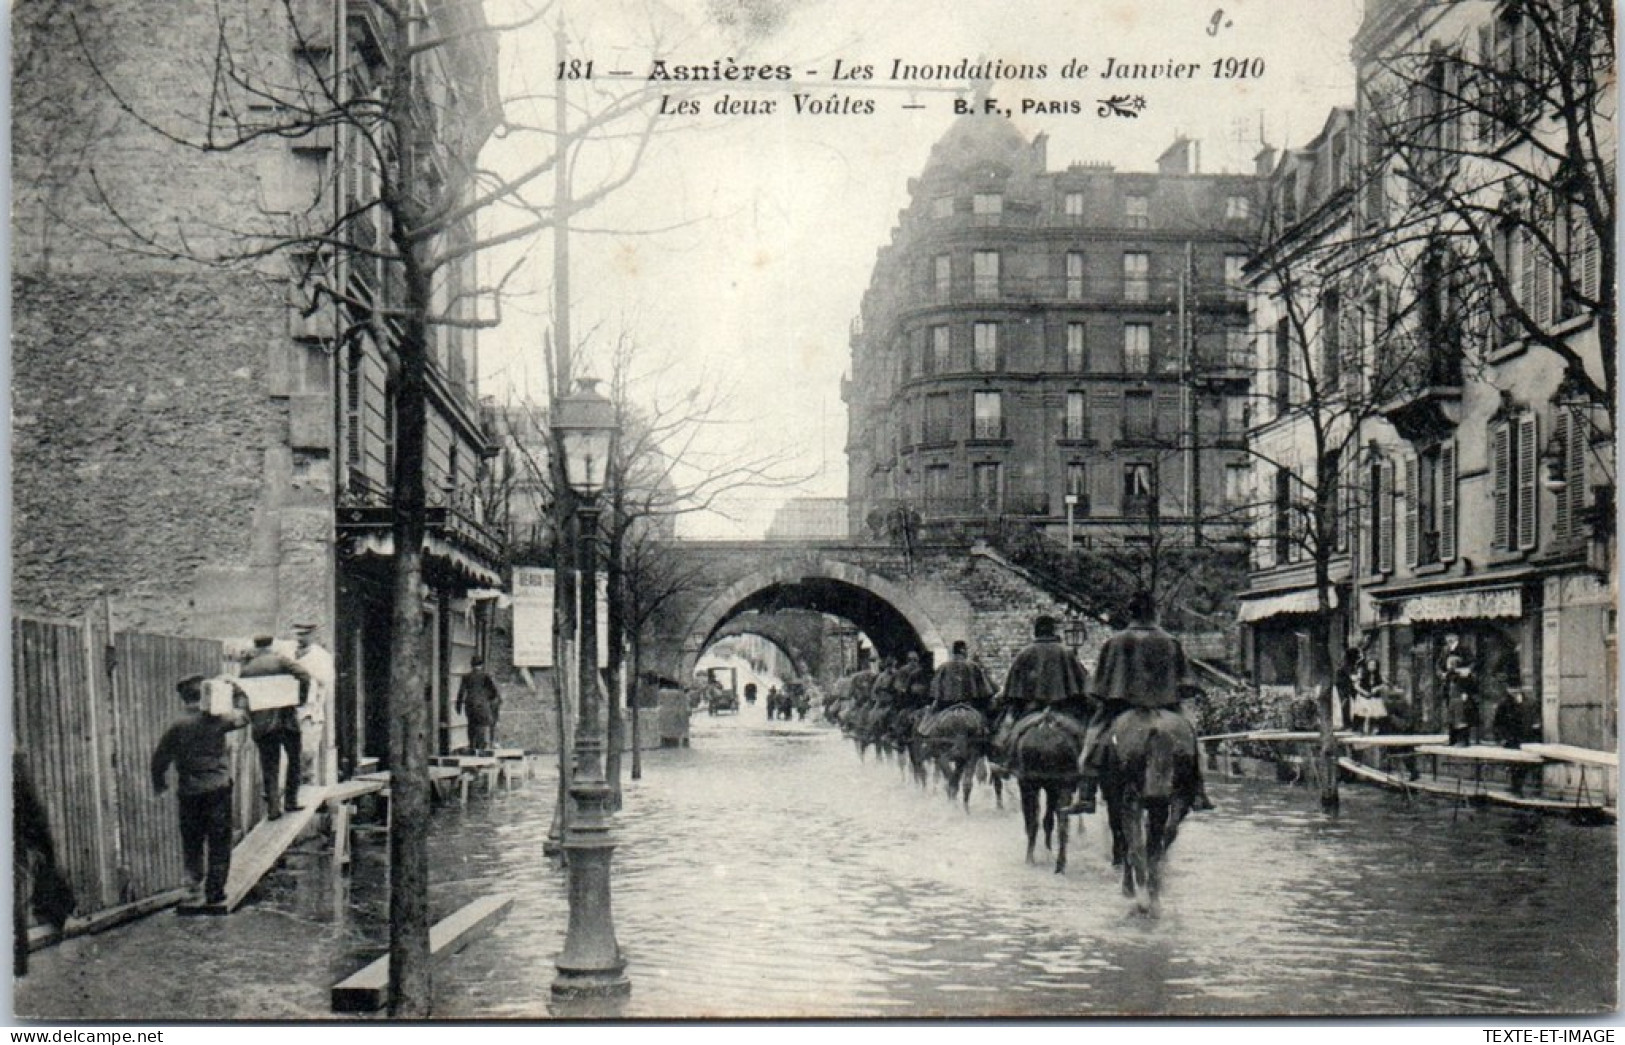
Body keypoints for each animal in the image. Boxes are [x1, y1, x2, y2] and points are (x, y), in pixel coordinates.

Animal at [1007, 711, 1085, 877]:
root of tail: (1046, 727)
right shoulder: (1053, 788)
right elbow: (1048, 820)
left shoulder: (1026, 784)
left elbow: (1034, 819)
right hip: (1062, 786)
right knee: (1062, 822)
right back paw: (1060, 864)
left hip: (1035, 786)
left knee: (1034, 820)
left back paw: (1031, 858)